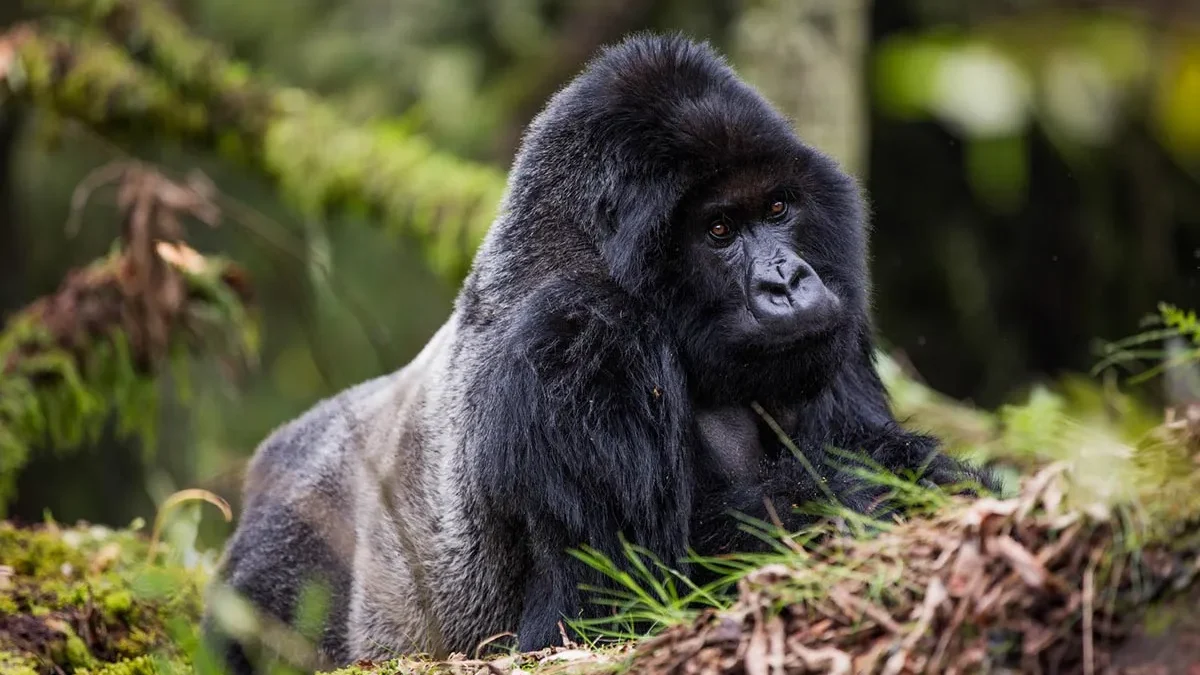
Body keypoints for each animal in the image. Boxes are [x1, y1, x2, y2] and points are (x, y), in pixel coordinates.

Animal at [202, 32, 994, 672]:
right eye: (718, 230)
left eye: (778, 208)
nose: (788, 280)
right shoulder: (579, 339)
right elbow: (621, 601)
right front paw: (881, 492)